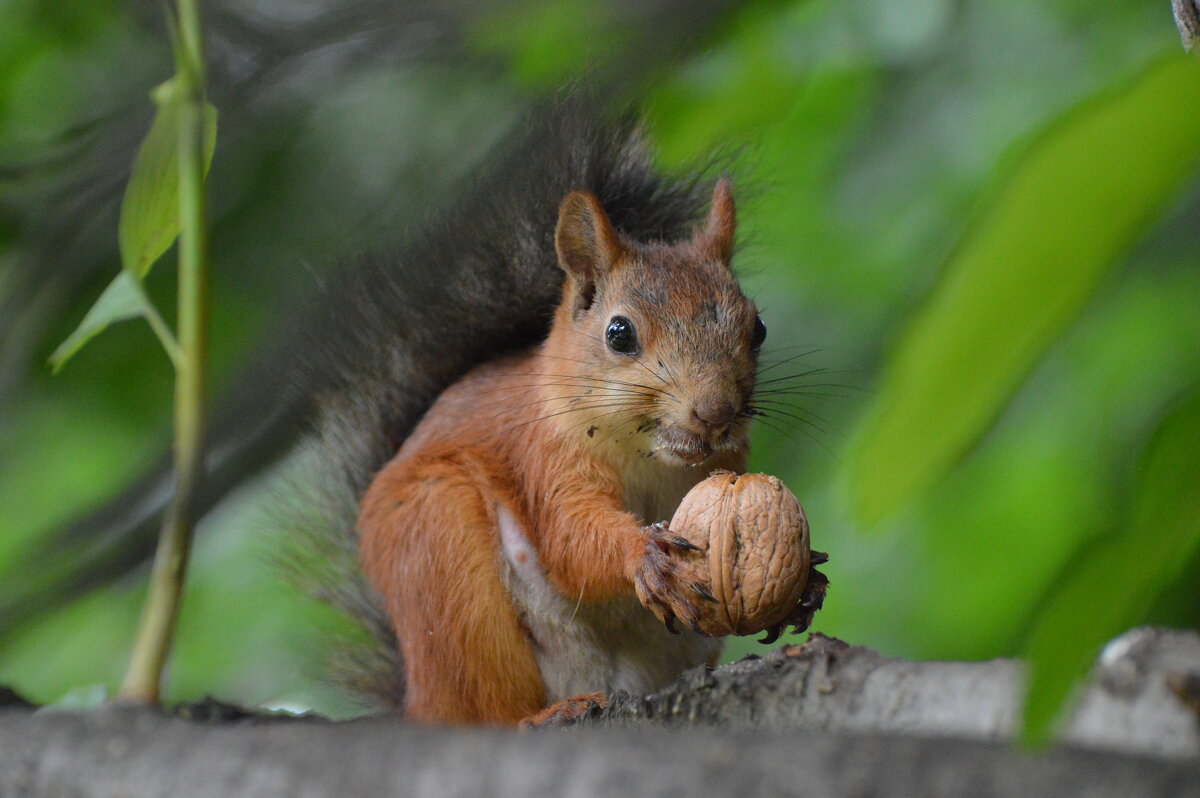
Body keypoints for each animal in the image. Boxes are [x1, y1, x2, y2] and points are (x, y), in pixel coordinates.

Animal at [355, 178, 787, 720]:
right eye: (619, 333)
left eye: (759, 328)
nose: (716, 411)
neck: (650, 458)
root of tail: (416, 699)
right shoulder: (543, 459)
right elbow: (568, 538)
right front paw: (642, 551)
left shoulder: (725, 467)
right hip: (442, 555)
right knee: (490, 706)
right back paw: (546, 713)